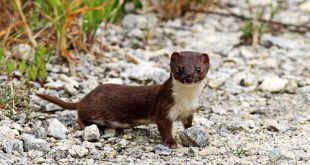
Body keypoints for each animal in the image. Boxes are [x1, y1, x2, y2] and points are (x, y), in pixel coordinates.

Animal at [37, 50, 211, 148]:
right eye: (180, 68)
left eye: (198, 69)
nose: (189, 77)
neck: (185, 100)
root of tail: (86, 97)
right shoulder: (164, 108)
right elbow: (164, 127)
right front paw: (171, 143)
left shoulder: (190, 111)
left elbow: (188, 125)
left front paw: (191, 133)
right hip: (92, 110)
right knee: (80, 114)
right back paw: (87, 126)